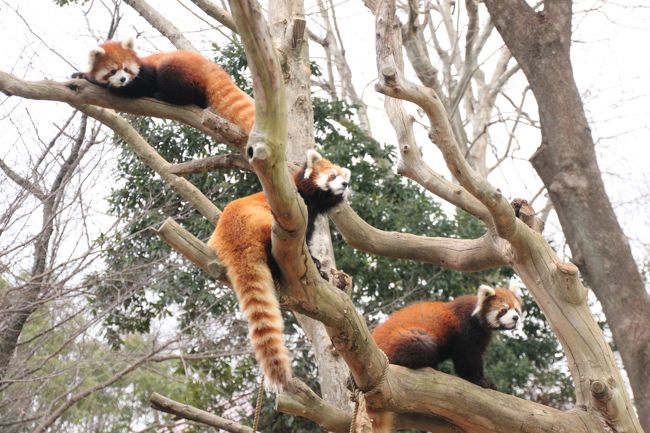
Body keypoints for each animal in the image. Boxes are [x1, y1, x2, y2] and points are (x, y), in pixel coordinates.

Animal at [71, 37, 253, 132]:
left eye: (126, 69)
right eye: (113, 71)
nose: (122, 80)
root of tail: (207, 64)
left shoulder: (146, 73)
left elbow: (140, 86)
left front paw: (103, 85)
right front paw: (81, 75)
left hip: (176, 67)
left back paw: (164, 96)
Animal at [208, 150, 350, 390]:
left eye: (342, 176)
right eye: (332, 175)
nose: (345, 183)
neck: (311, 197)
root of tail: (233, 237)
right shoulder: (303, 210)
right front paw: (317, 265)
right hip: (262, 219)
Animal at [368, 282, 520, 430]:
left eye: (517, 309)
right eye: (504, 310)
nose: (516, 318)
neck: (476, 317)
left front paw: (487, 381)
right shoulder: (467, 330)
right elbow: (466, 359)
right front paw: (478, 380)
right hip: (408, 338)